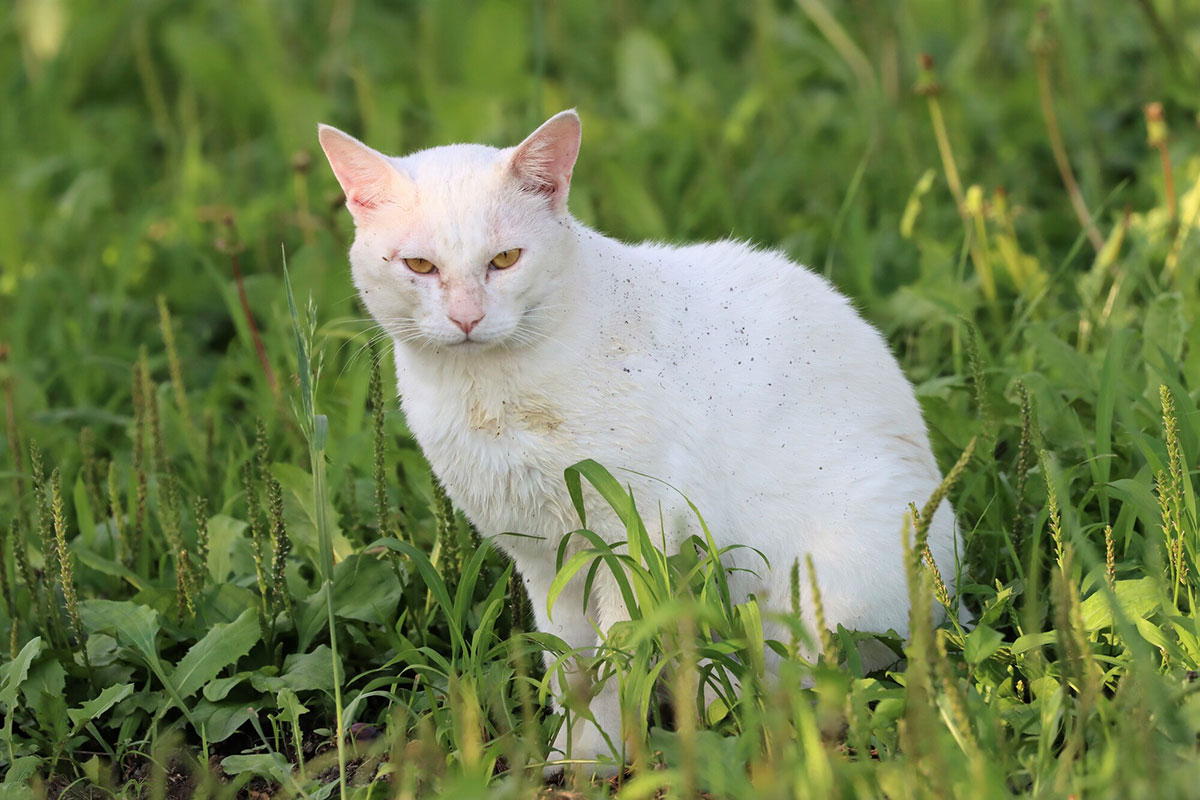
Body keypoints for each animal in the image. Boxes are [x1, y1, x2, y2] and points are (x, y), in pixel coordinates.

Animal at [319, 109, 955, 772]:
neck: (488, 395)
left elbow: (617, 660)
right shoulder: (542, 557)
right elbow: (569, 667)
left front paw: (603, 760)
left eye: (506, 259)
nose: (467, 318)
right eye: (420, 266)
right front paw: (570, 758)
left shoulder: (635, 534)